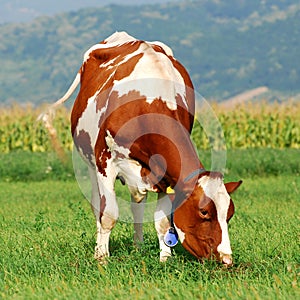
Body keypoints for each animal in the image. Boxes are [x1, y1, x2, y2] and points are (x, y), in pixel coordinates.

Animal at [40, 32, 241, 268]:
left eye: (229, 214)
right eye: (204, 212)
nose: (226, 259)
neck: (151, 101)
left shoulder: (164, 173)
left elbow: (162, 221)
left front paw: (165, 258)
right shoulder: (105, 163)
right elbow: (108, 214)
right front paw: (102, 259)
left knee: (137, 204)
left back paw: (138, 246)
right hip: (90, 162)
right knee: (97, 206)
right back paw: (99, 247)